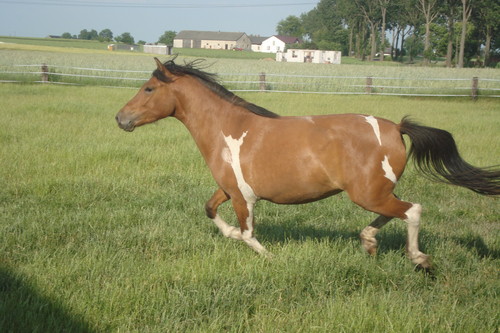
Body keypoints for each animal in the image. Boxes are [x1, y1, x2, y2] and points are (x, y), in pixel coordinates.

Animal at [114, 57, 500, 270]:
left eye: (148, 89)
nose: (120, 118)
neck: (227, 129)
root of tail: (395, 127)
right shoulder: (227, 189)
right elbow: (210, 210)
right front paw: (228, 233)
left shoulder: (243, 198)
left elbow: (248, 234)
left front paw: (269, 257)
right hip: (375, 192)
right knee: (395, 213)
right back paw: (368, 243)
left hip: (368, 193)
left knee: (413, 210)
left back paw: (419, 259)